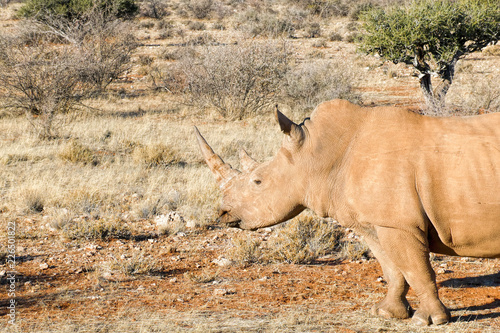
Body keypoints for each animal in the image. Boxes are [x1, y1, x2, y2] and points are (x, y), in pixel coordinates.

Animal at [194, 99, 500, 324]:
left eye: (258, 182)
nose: (223, 214)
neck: (318, 156)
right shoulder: (374, 223)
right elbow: (392, 268)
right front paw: (386, 312)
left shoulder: (399, 224)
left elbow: (416, 269)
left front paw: (429, 320)